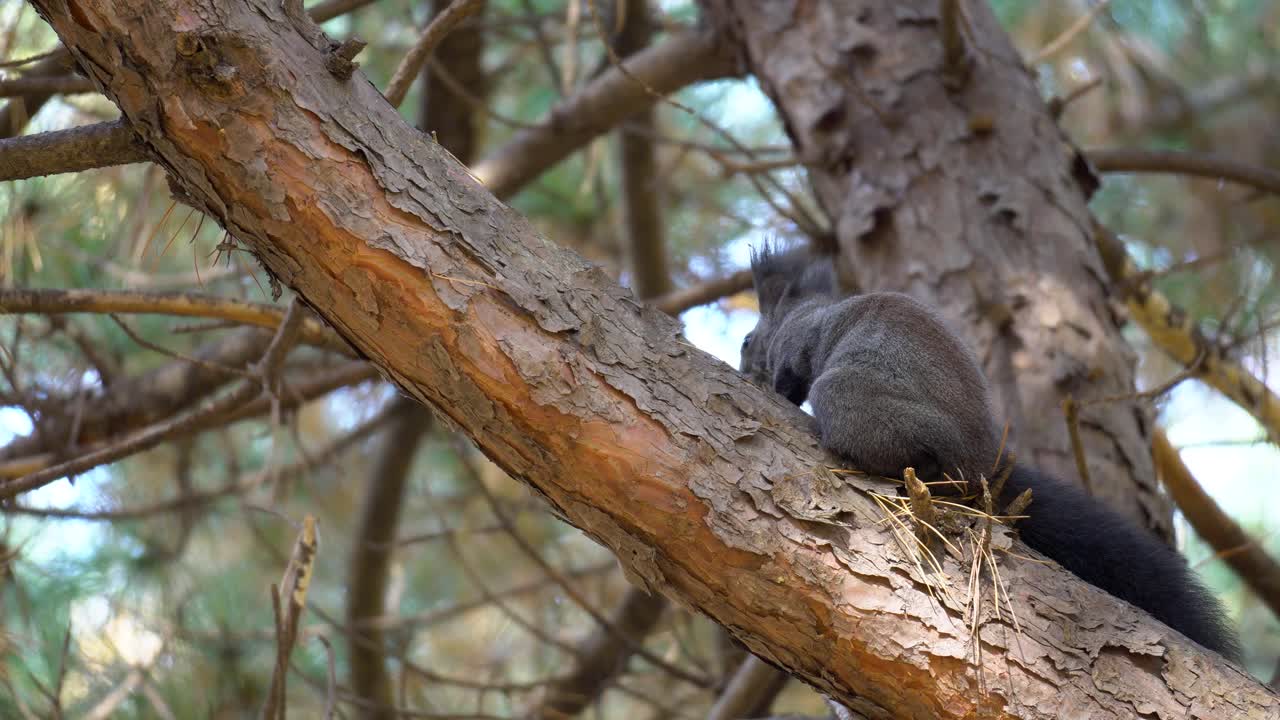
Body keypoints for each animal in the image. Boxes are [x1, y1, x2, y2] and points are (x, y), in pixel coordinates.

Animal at [740, 246, 1240, 660]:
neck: (805, 309)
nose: (745, 365)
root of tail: (981, 462)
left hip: (849, 398)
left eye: (746, 342)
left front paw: (774, 389)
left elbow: (791, 376)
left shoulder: (798, 346)